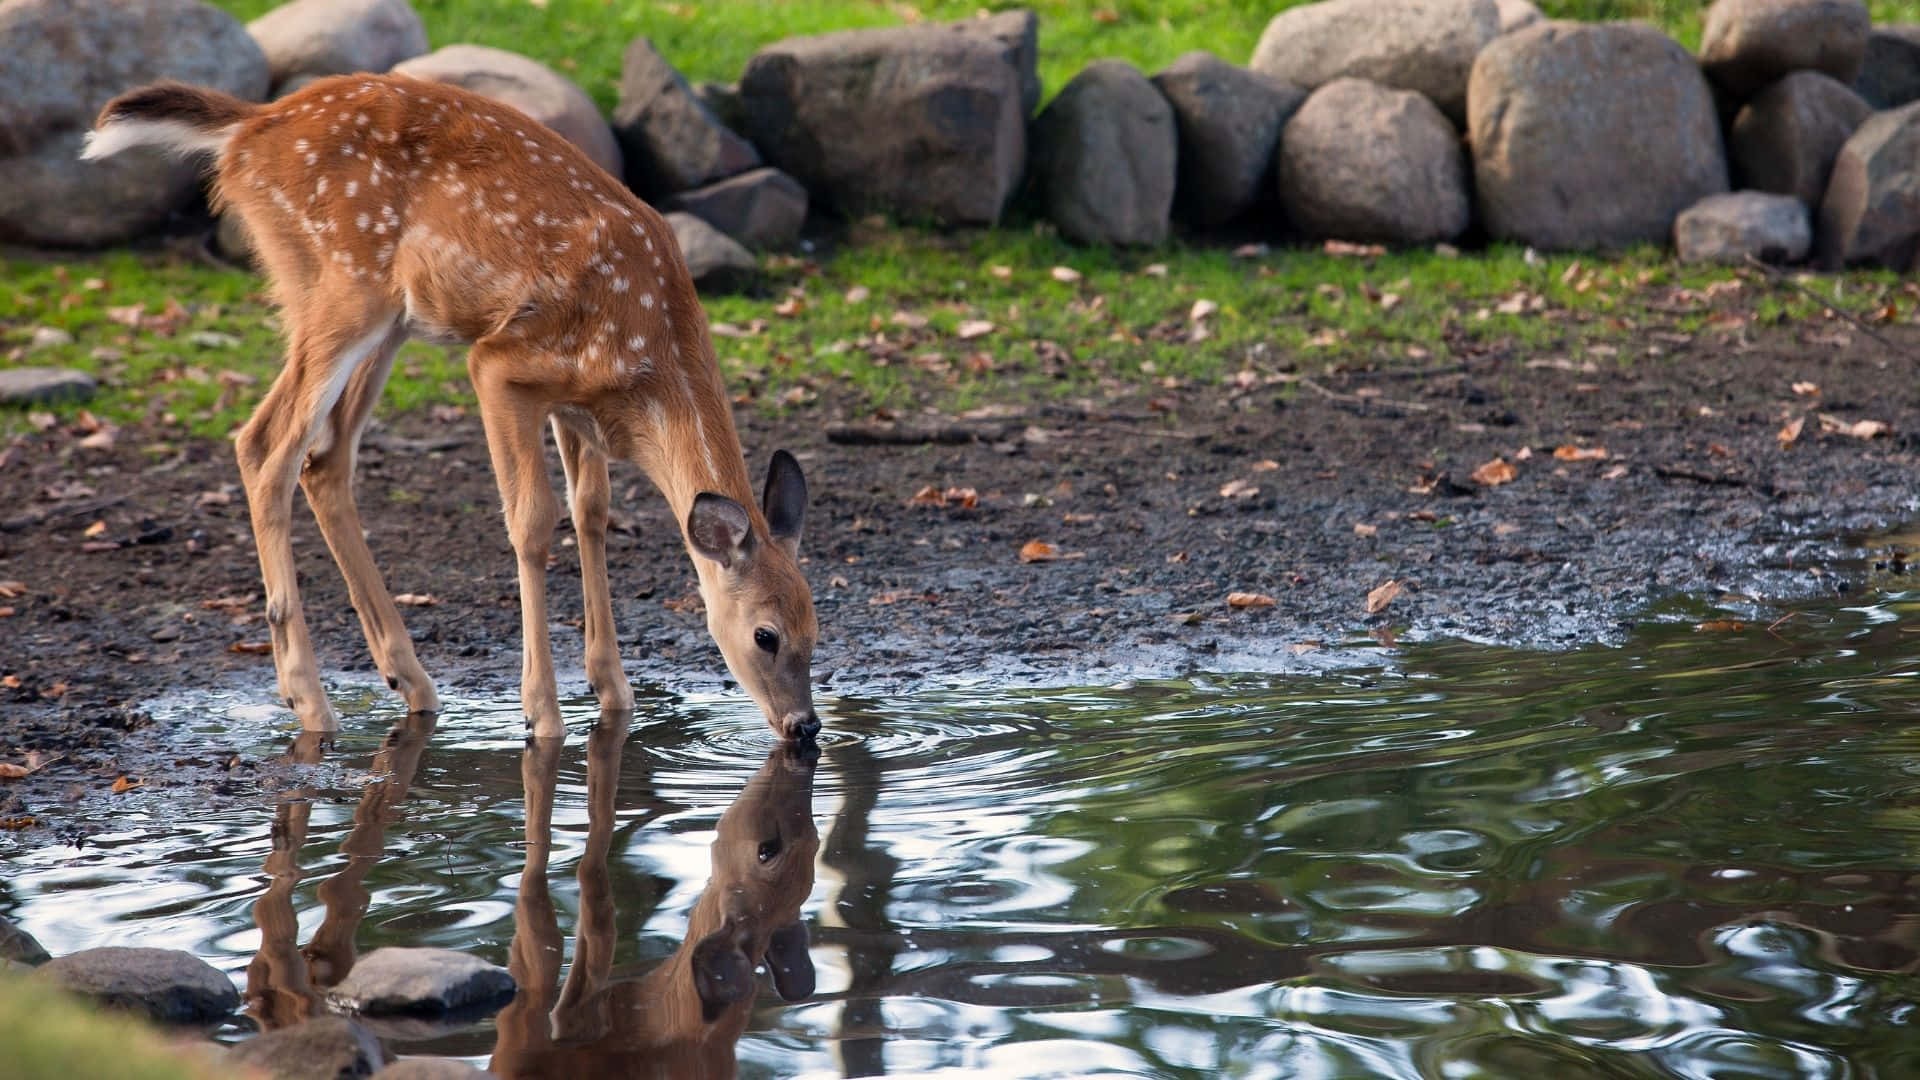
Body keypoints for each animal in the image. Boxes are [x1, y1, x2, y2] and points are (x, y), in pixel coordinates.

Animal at [81, 74, 820, 741]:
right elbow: (532, 520)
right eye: (766, 635)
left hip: (388, 320)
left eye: (816, 624)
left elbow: (592, 512)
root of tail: (250, 127)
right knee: (266, 444)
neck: (649, 362)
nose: (805, 726)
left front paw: (613, 695)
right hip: (341, 284)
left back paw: (407, 680)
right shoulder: (504, 364)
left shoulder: (576, 407)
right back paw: (310, 702)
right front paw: (543, 714)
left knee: (326, 459)